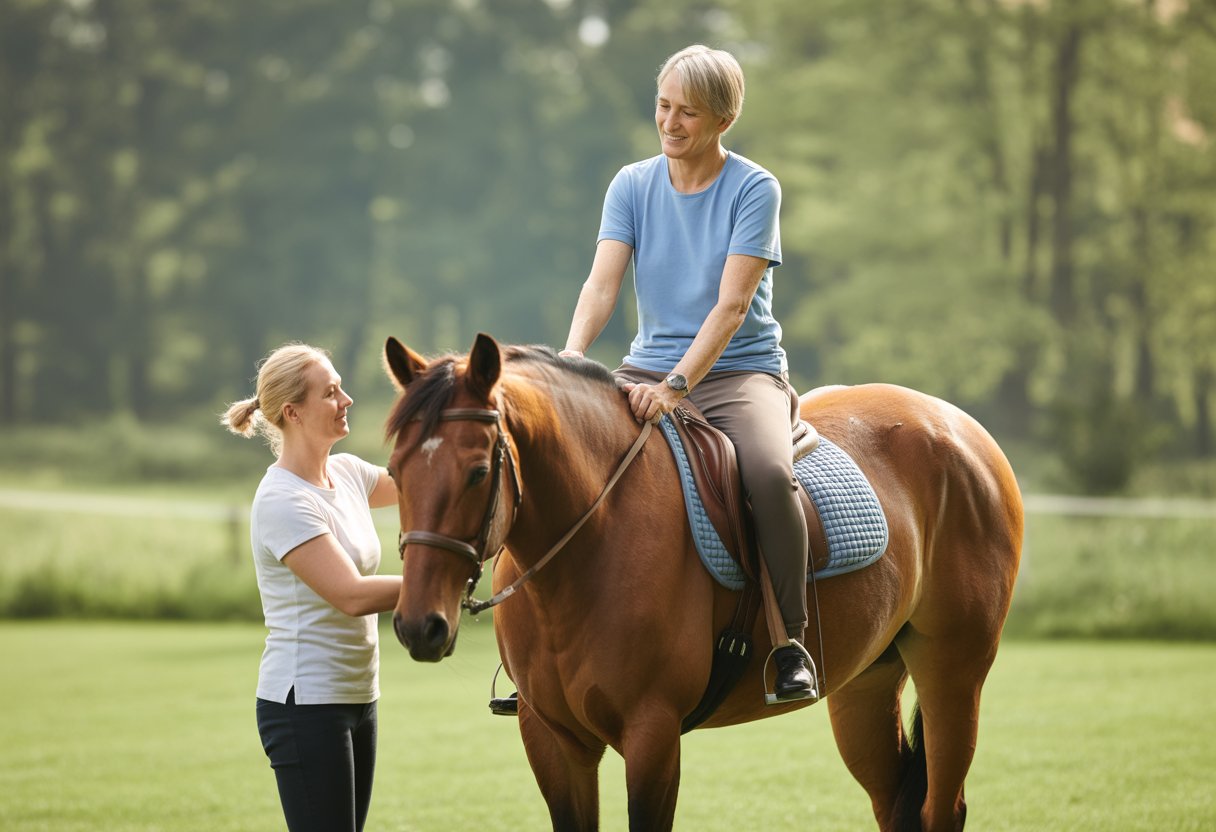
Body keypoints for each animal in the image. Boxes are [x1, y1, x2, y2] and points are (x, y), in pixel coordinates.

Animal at [382, 333, 1023, 832]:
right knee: (895, 804)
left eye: (478, 472)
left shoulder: (653, 734)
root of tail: (957, 424)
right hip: (866, 684)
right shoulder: (551, 737)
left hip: (952, 672)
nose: (418, 626)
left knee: (943, 807)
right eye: (393, 471)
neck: (591, 542)